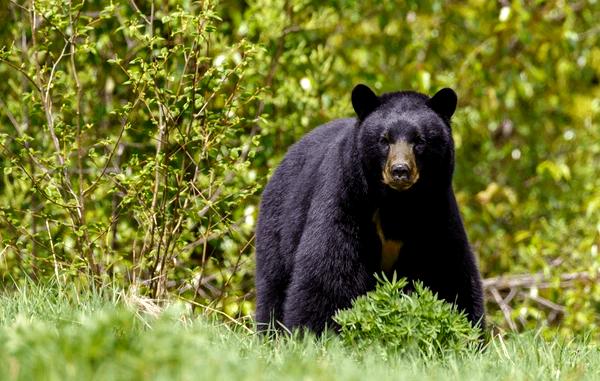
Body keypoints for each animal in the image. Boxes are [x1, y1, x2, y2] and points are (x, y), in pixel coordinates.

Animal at [253, 84, 482, 332]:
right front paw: (313, 331)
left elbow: (449, 271)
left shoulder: (436, 210)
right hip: (279, 221)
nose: (400, 170)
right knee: (273, 283)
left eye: (420, 141)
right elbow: (328, 268)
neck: (398, 203)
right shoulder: (346, 199)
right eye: (384, 140)